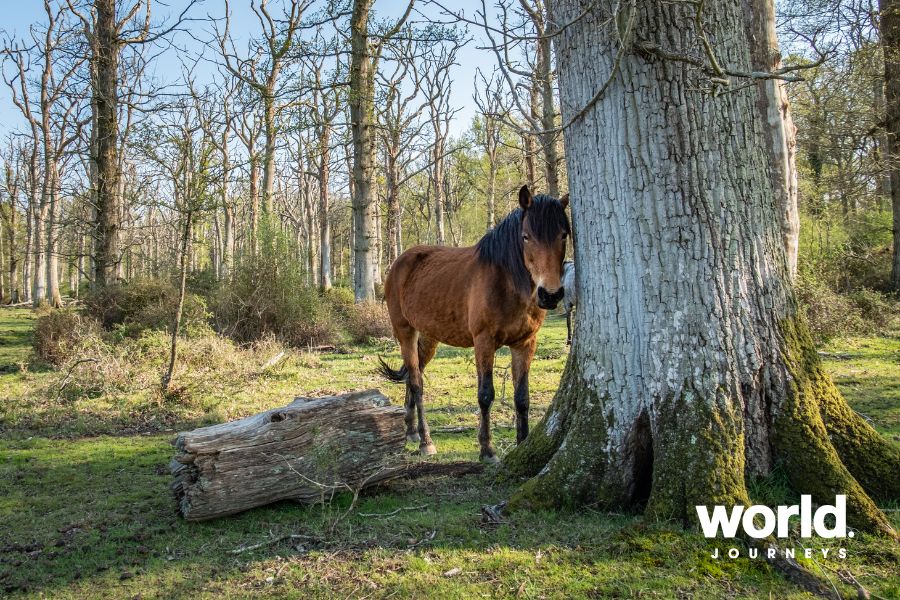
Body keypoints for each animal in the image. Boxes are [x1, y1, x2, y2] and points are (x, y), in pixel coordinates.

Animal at [378, 185, 571, 463]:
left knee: (414, 376)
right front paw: (487, 450)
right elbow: (485, 394)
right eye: (526, 237)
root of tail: (399, 263)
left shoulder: (525, 343)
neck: (506, 283)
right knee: (416, 382)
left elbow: (522, 397)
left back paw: (411, 431)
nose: (550, 294)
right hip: (405, 333)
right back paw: (426, 441)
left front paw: (522, 443)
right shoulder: (484, 342)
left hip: (428, 337)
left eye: (564, 235)